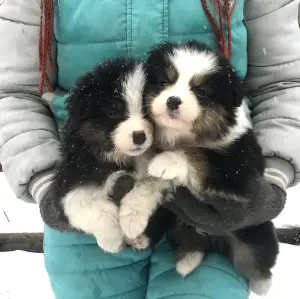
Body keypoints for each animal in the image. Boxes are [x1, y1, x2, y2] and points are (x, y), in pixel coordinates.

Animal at [40, 58, 175, 253]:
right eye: (113, 112)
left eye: (147, 111)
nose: (139, 136)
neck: (119, 158)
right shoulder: (71, 178)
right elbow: (83, 203)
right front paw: (112, 239)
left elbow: (148, 184)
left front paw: (132, 221)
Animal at [128, 41, 276, 296]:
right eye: (165, 82)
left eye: (201, 91)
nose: (173, 101)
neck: (182, 135)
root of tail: (212, 239)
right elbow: (148, 185)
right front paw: (132, 213)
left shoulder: (239, 169)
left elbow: (199, 153)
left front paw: (167, 161)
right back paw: (167, 250)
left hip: (254, 229)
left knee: (255, 257)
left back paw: (262, 285)